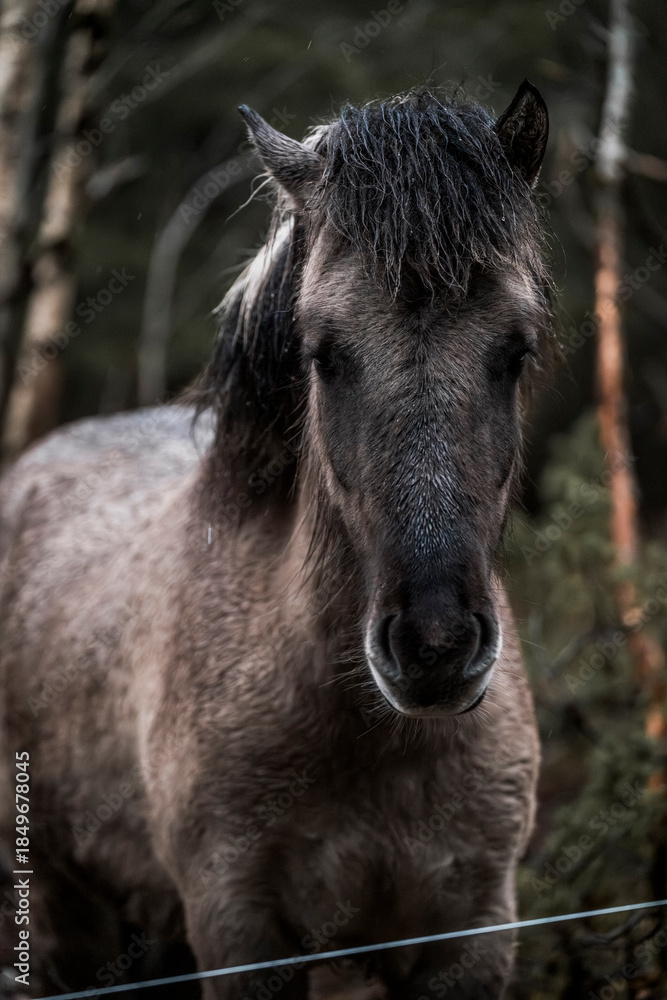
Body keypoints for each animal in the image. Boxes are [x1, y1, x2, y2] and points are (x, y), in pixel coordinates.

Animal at [0, 81, 554, 999]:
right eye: (322, 353)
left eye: (515, 349)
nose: (435, 646)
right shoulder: (240, 931)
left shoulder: (471, 932)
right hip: (57, 907)